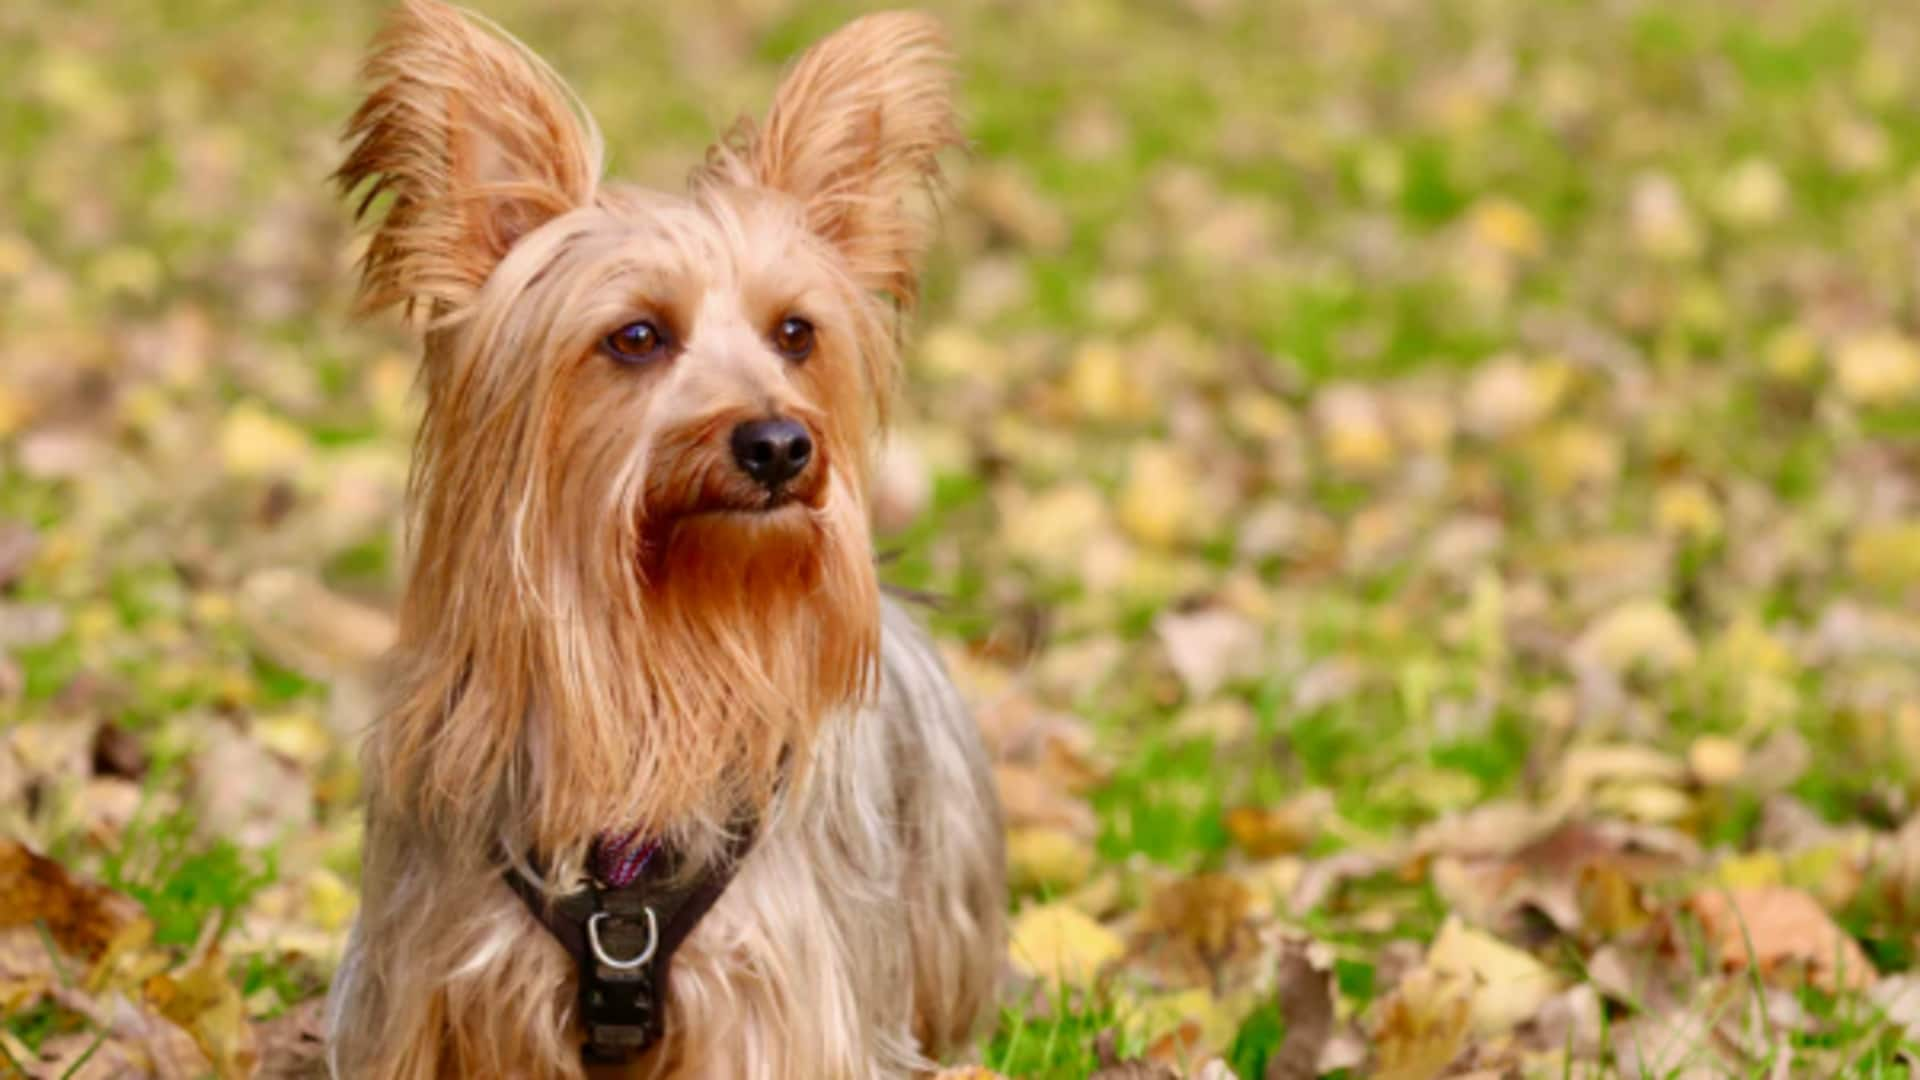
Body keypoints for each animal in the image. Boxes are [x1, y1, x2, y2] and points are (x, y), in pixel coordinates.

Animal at [332, 4, 1013, 1068]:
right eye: (638, 337)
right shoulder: (453, 983)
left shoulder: (772, 989)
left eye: (796, 333)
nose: (779, 443)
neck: (662, 649)